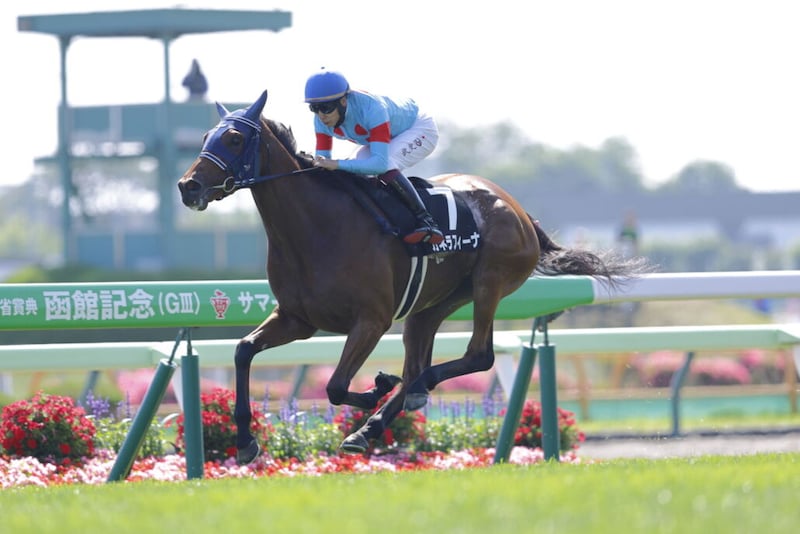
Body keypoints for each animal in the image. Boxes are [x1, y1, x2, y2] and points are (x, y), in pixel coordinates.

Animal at [177, 90, 644, 464]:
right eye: (204, 138)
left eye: (234, 139)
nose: (188, 186)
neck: (316, 229)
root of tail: (520, 211)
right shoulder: (297, 319)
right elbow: (242, 351)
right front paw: (244, 441)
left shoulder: (371, 319)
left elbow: (336, 385)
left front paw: (374, 388)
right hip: (433, 304)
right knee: (423, 356)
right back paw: (378, 419)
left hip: (489, 282)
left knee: (476, 356)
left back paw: (404, 394)